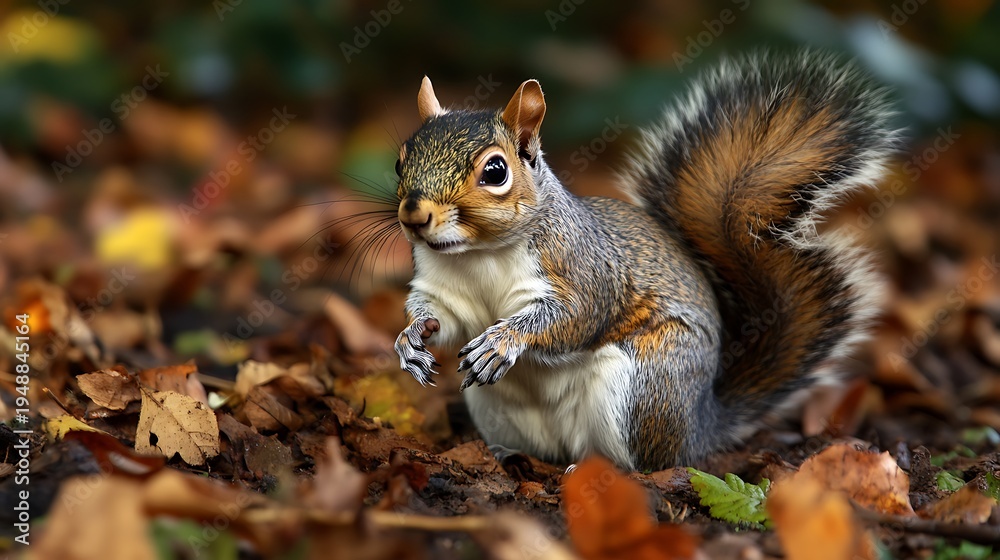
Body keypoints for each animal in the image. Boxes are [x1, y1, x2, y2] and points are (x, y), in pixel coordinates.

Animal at [392, 51, 895, 471]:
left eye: (495, 171)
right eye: (400, 162)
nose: (414, 215)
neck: (479, 254)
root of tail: (700, 429)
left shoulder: (584, 269)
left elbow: (575, 316)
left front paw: (503, 340)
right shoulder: (443, 289)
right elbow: (444, 318)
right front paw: (411, 338)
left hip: (643, 386)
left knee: (643, 464)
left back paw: (599, 469)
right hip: (497, 407)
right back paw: (507, 454)